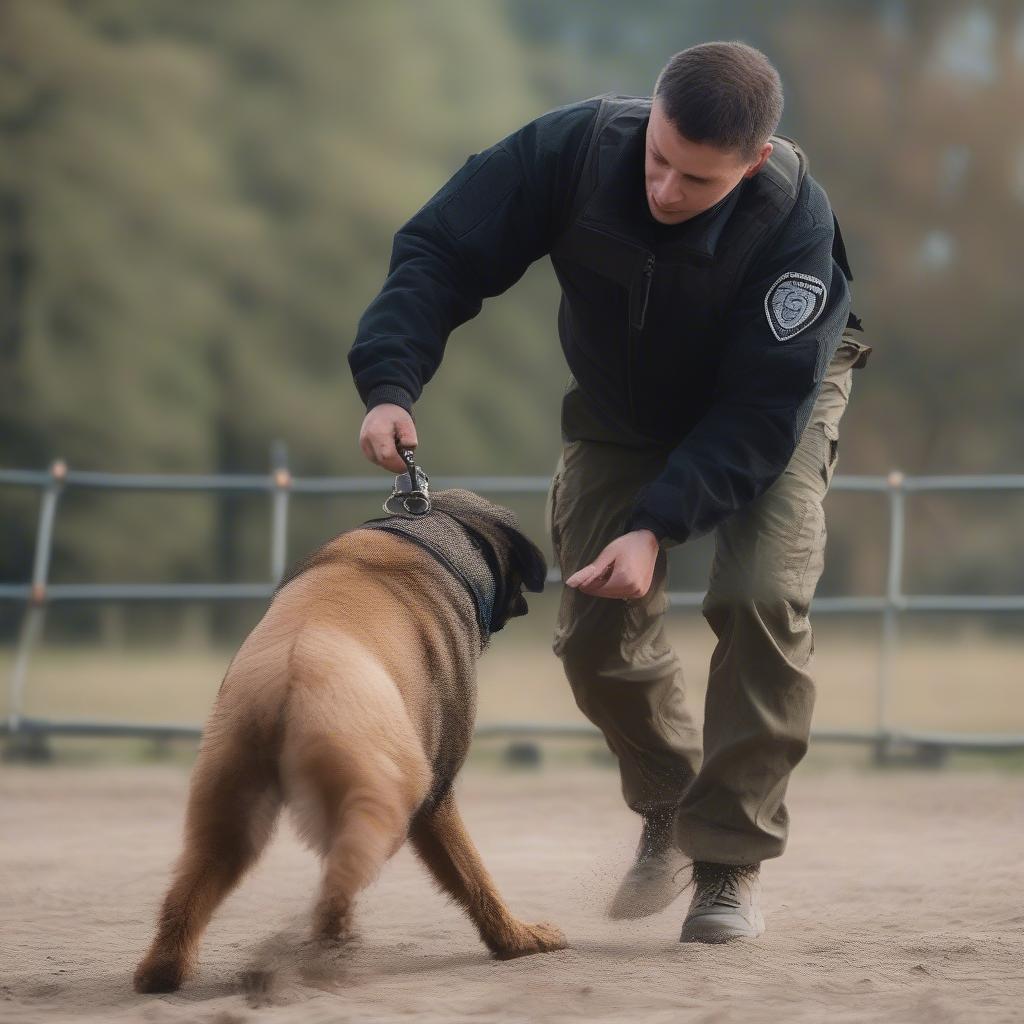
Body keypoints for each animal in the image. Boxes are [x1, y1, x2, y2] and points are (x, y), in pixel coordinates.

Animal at [133, 487, 569, 991]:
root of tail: (288, 679)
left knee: (190, 891)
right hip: (386, 804)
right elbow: (473, 876)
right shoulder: (437, 797)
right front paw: (512, 939)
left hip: (228, 808)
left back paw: (165, 969)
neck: (433, 530)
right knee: (335, 895)